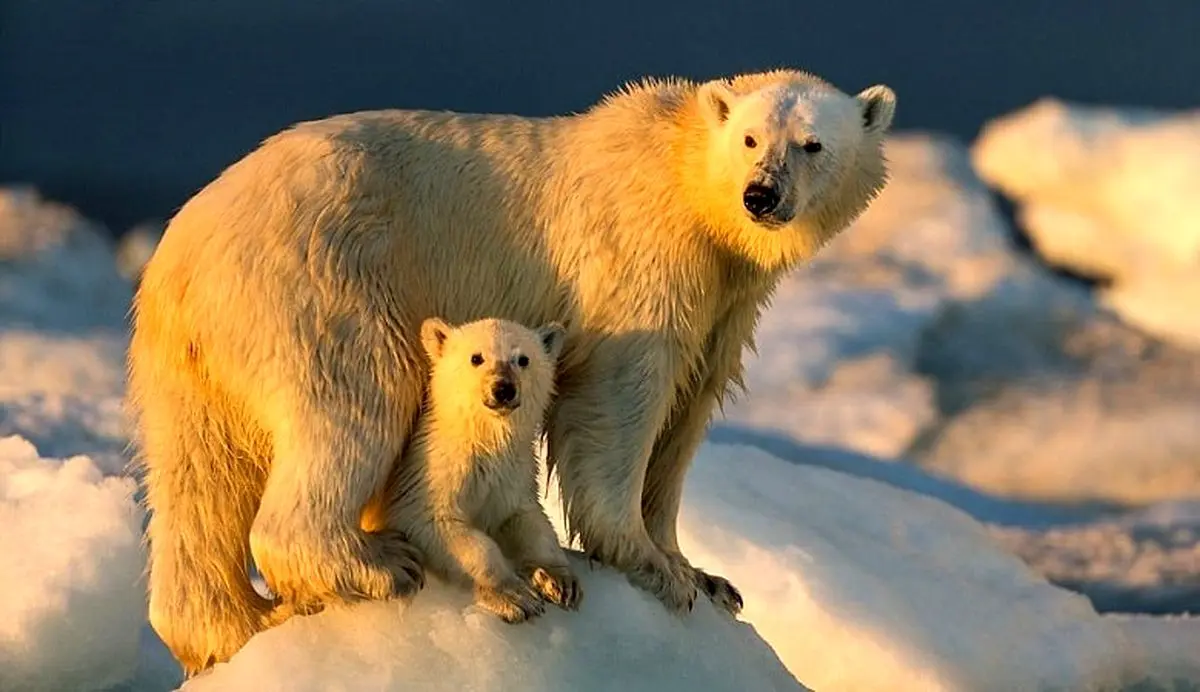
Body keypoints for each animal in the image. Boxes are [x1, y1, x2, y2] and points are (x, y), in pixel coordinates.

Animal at [357, 316, 578, 623]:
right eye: (476, 357)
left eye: (523, 359)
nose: (503, 389)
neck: (484, 439)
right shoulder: (430, 473)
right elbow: (443, 527)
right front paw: (515, 596)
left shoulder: (513, 474)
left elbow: (527, 518)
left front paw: (558, 580)